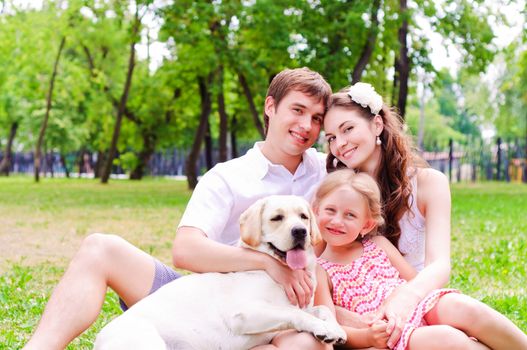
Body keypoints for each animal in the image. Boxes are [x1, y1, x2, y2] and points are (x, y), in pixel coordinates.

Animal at [96, 196, 346, 348]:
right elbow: (293, 313)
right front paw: (320, 327)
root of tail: (99, 339)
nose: (300, 231)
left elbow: (322, 309)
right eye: (277, 218)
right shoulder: (244, 313)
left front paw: (334, 328)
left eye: (304, 216)